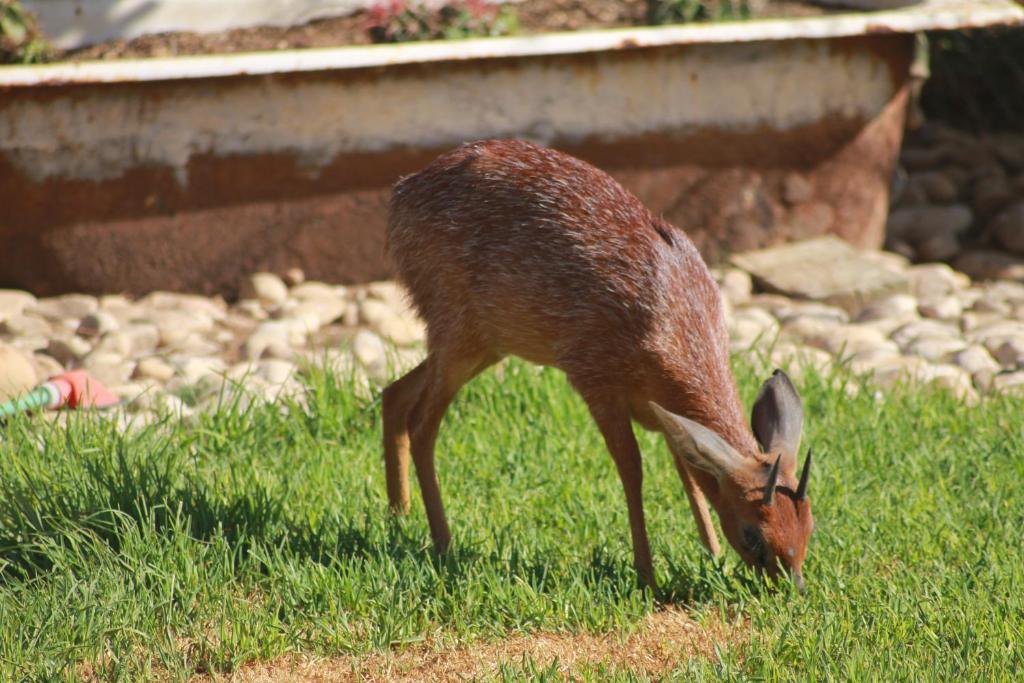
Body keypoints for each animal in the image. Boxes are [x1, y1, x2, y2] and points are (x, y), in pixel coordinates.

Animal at [380, 139, 811, 589]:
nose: (794, 586)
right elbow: (632, 467)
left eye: (808, 527)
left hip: (484, 342)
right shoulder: (594, 378)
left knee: (394, 392)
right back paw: (443, 543)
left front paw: (712, 554)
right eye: (751, 533)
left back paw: (399, 514)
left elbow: (686, 468)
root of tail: (399, 195)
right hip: (458, 330)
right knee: (423, 423)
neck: (671, 322)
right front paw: (647, 574)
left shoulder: (662, 409)